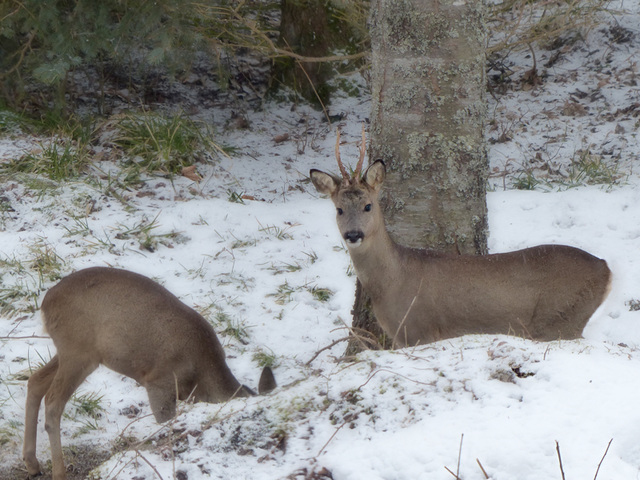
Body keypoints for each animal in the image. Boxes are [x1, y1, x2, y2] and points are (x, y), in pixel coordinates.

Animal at [22, 266, 276, 480]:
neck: (202, 374)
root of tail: (46, 303)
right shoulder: (159, 382)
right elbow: (166, 422)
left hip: (76, 351)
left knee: (35, 381)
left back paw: (33, 464)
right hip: (78, 350)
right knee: (53, 401)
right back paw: (58, 472)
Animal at [308, 127, 608, 344]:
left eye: (368, 205)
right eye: (339, 209)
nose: (353, 234)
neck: (391, 282)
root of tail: (606, 269)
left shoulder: (420, 330)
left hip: (560, 319)